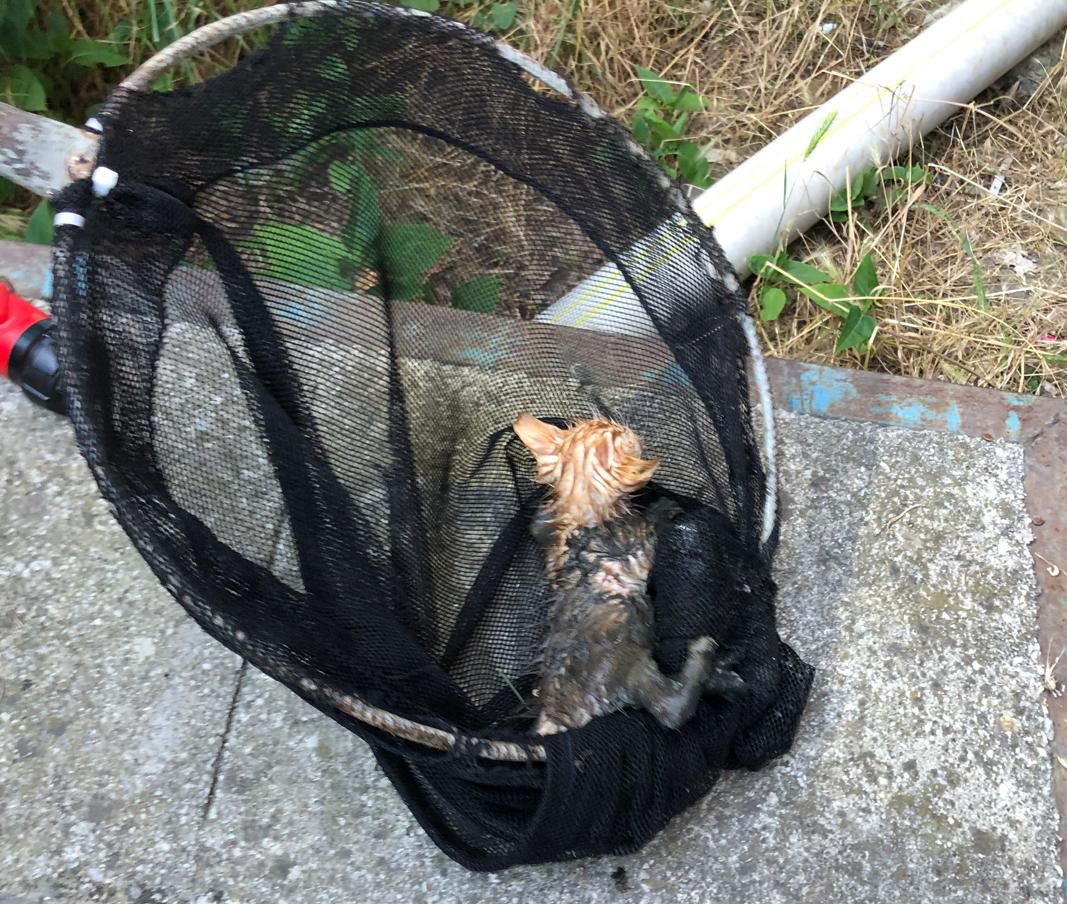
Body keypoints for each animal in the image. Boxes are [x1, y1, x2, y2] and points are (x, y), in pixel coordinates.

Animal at [514, 412, 726, 736]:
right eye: (618, 434)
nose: (626, 427)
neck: (581, 512)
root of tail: (555, 712)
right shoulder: (636, 539)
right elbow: (652, 527)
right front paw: (665, 509)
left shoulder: (550, 531)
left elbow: (538, 524)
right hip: (627, 664)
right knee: (671, 709)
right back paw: (703, 654)